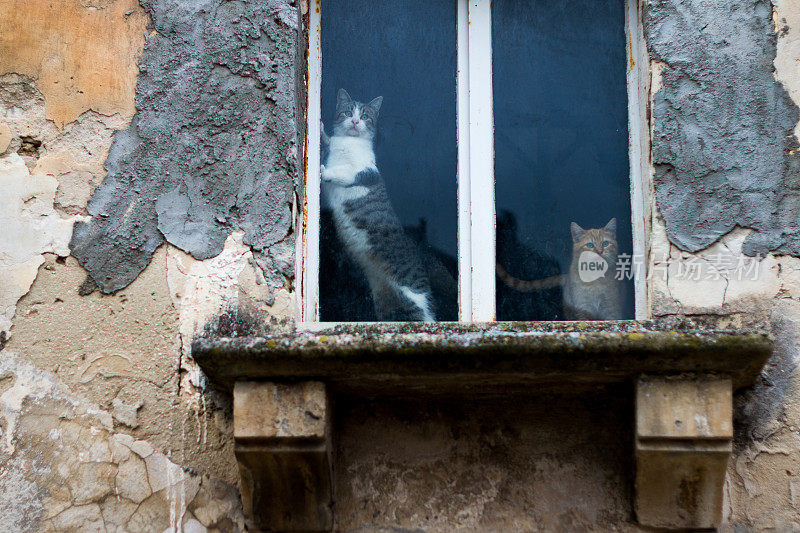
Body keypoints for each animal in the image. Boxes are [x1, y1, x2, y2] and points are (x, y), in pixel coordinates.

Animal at [318, 89, 434, 320]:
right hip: (384, 302)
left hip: (412, 296)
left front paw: (323, 171)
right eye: (347, 112)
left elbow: (341, 172)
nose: (355, 121)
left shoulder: (364, 172)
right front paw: (320, 129)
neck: (348, 143)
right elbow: (328, 143)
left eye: (364, 116)